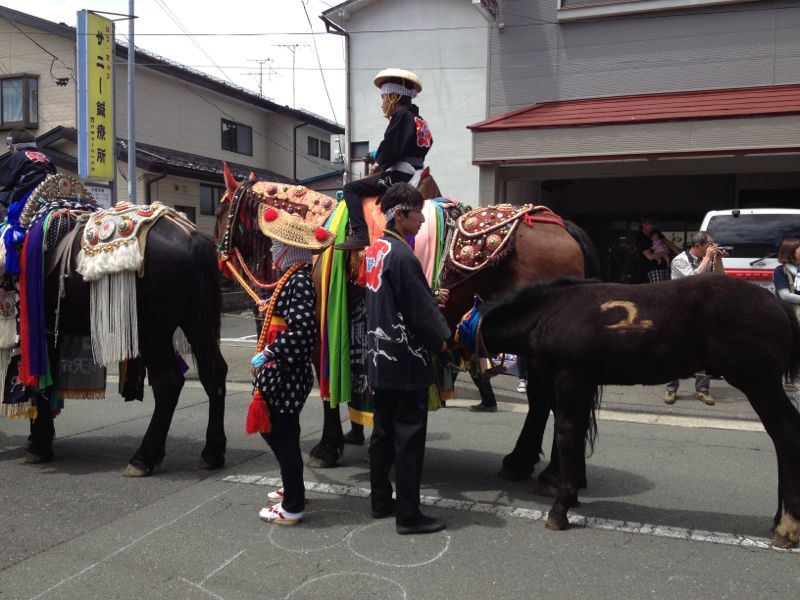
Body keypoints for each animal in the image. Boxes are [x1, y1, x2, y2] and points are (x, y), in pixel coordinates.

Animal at [3, 173, 228, 474]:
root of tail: (191, 236)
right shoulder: (53, 330)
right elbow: (47, 383)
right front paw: (40, 439)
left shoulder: (42, 329)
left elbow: (41, 386)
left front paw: (38, 445)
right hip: (195, 323)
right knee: (213, 373)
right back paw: (212, 452)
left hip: (152, 331)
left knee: (168, 382)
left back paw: (143, 458)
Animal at [478, 276, 800, 548]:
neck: (548, 312)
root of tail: (778, 304)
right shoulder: (577, 381)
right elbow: (576, 430)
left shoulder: (570, 377)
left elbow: (567, 433)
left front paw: (560, 508)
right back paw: (779, 519)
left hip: (759, 384)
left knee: (785, 434)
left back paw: (788, 525)